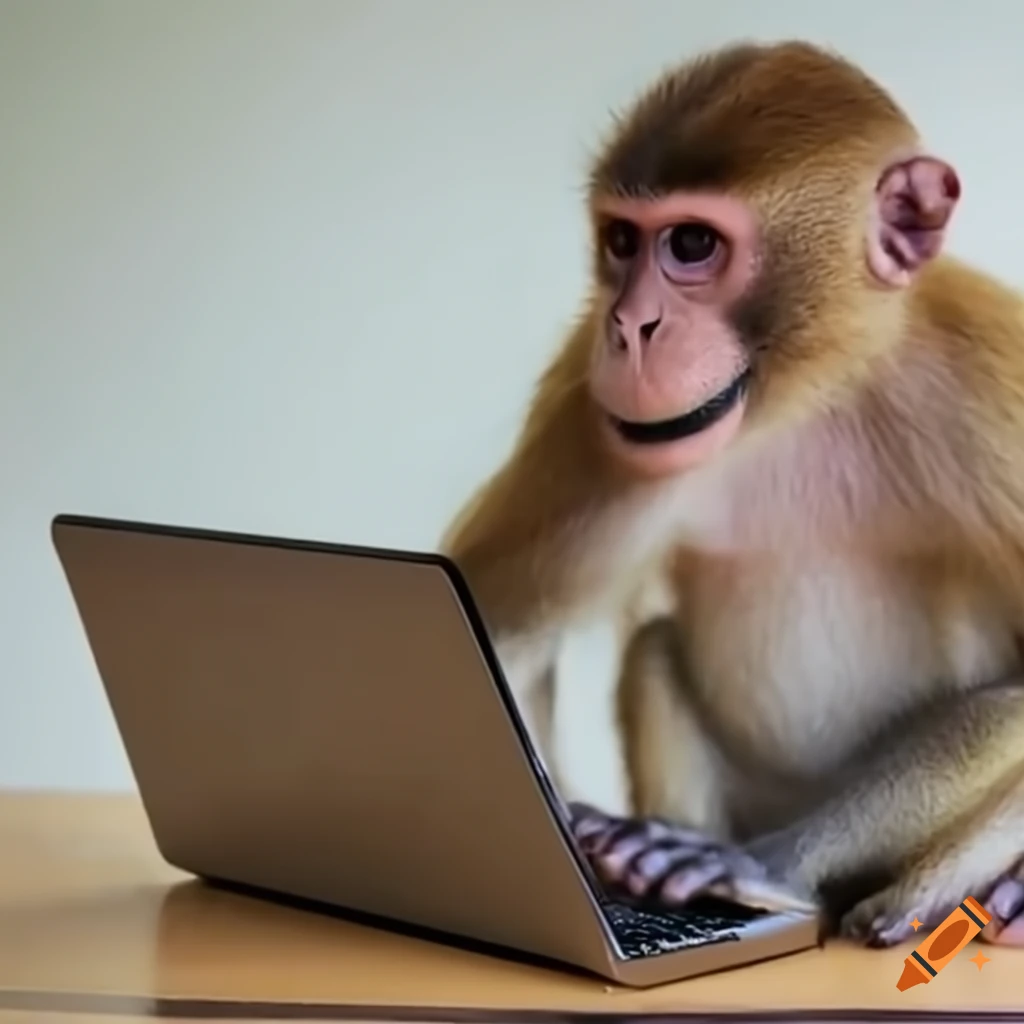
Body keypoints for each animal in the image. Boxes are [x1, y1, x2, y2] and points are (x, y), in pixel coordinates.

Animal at [440, 38, 1024, 948]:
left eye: (689, 244)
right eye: (621, 240)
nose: (627, 326)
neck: (814, 392)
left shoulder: (996, 389)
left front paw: (767, 867)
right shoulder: (587, 412)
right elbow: (501, 636)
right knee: (652, 645)